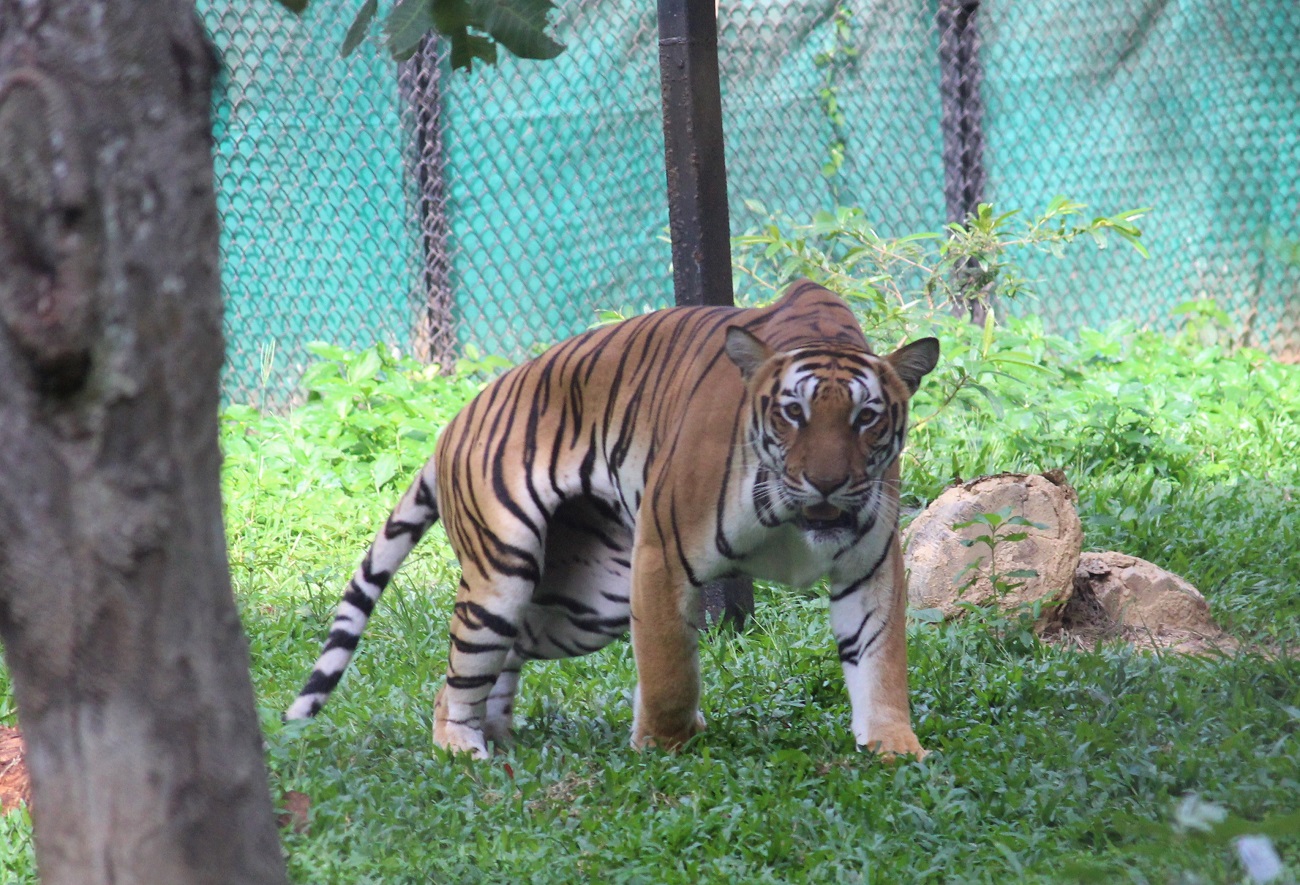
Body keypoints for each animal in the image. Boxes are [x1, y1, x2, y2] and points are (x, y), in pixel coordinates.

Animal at [287, 278, 935, 758]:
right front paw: (665, 746)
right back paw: (463, 748)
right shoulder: (663, 554)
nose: (827, 483)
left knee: (501, 654)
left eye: (866, 417)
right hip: (504, 574)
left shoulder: (870, 566)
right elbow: (669, 668)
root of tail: (454, 421)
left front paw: (895, 747)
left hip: (587, 604)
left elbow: (881, 661)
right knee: (459, 674)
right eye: (793, 412)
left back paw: (499, 736)